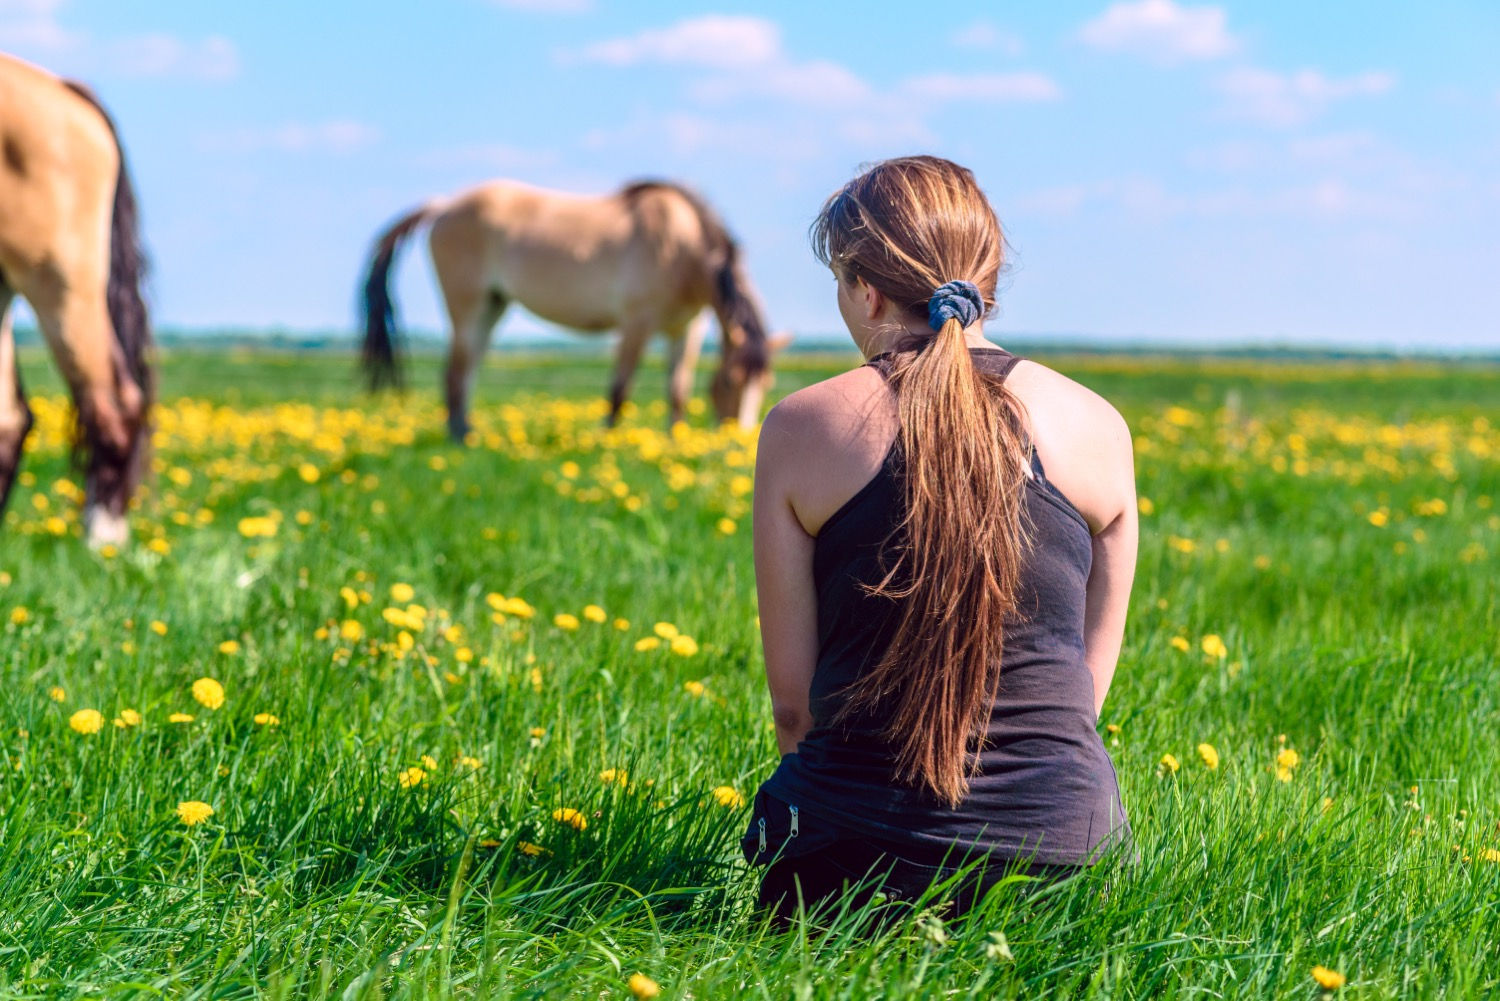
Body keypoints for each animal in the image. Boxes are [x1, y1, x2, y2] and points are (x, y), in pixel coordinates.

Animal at [359, 178, 782, 439]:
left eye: (765, 384)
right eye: (729, 382)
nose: (738, 436)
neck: (681, 246)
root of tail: (443, 204)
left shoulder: (687, 328)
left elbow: (677, 389)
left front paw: (673, 441)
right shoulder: (636, 323)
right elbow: (620, 388)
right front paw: (609, 439)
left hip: (493, 306)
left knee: (467, 370)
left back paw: (467, 433)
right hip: (468, 306)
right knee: (455, 372)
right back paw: (460, 440)